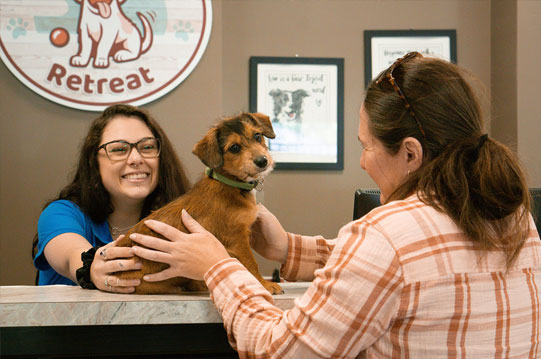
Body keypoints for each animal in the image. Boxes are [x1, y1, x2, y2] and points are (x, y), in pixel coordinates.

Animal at [113, 112, 282, 296]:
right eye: (235, 148)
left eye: (257, 136)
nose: (262, 161)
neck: (229, 183)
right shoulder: (237, 239)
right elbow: (251, 264)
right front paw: (264, 285)